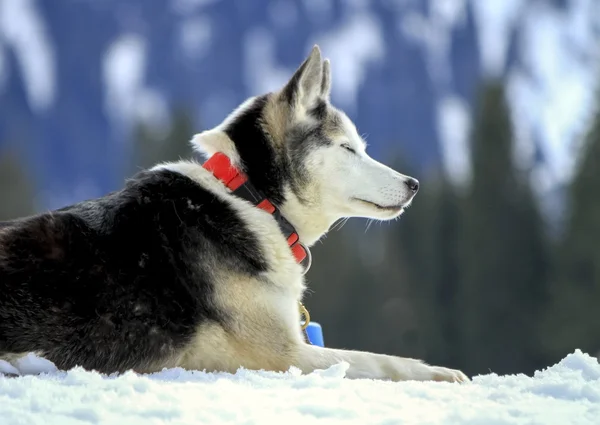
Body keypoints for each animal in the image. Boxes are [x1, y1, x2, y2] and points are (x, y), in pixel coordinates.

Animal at [0, 45, 468, 380]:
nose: (414, 184)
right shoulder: (284, 353)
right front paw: (440, 373)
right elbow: (380, 360)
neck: (252, 199)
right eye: (347, 148)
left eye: (360, 147)